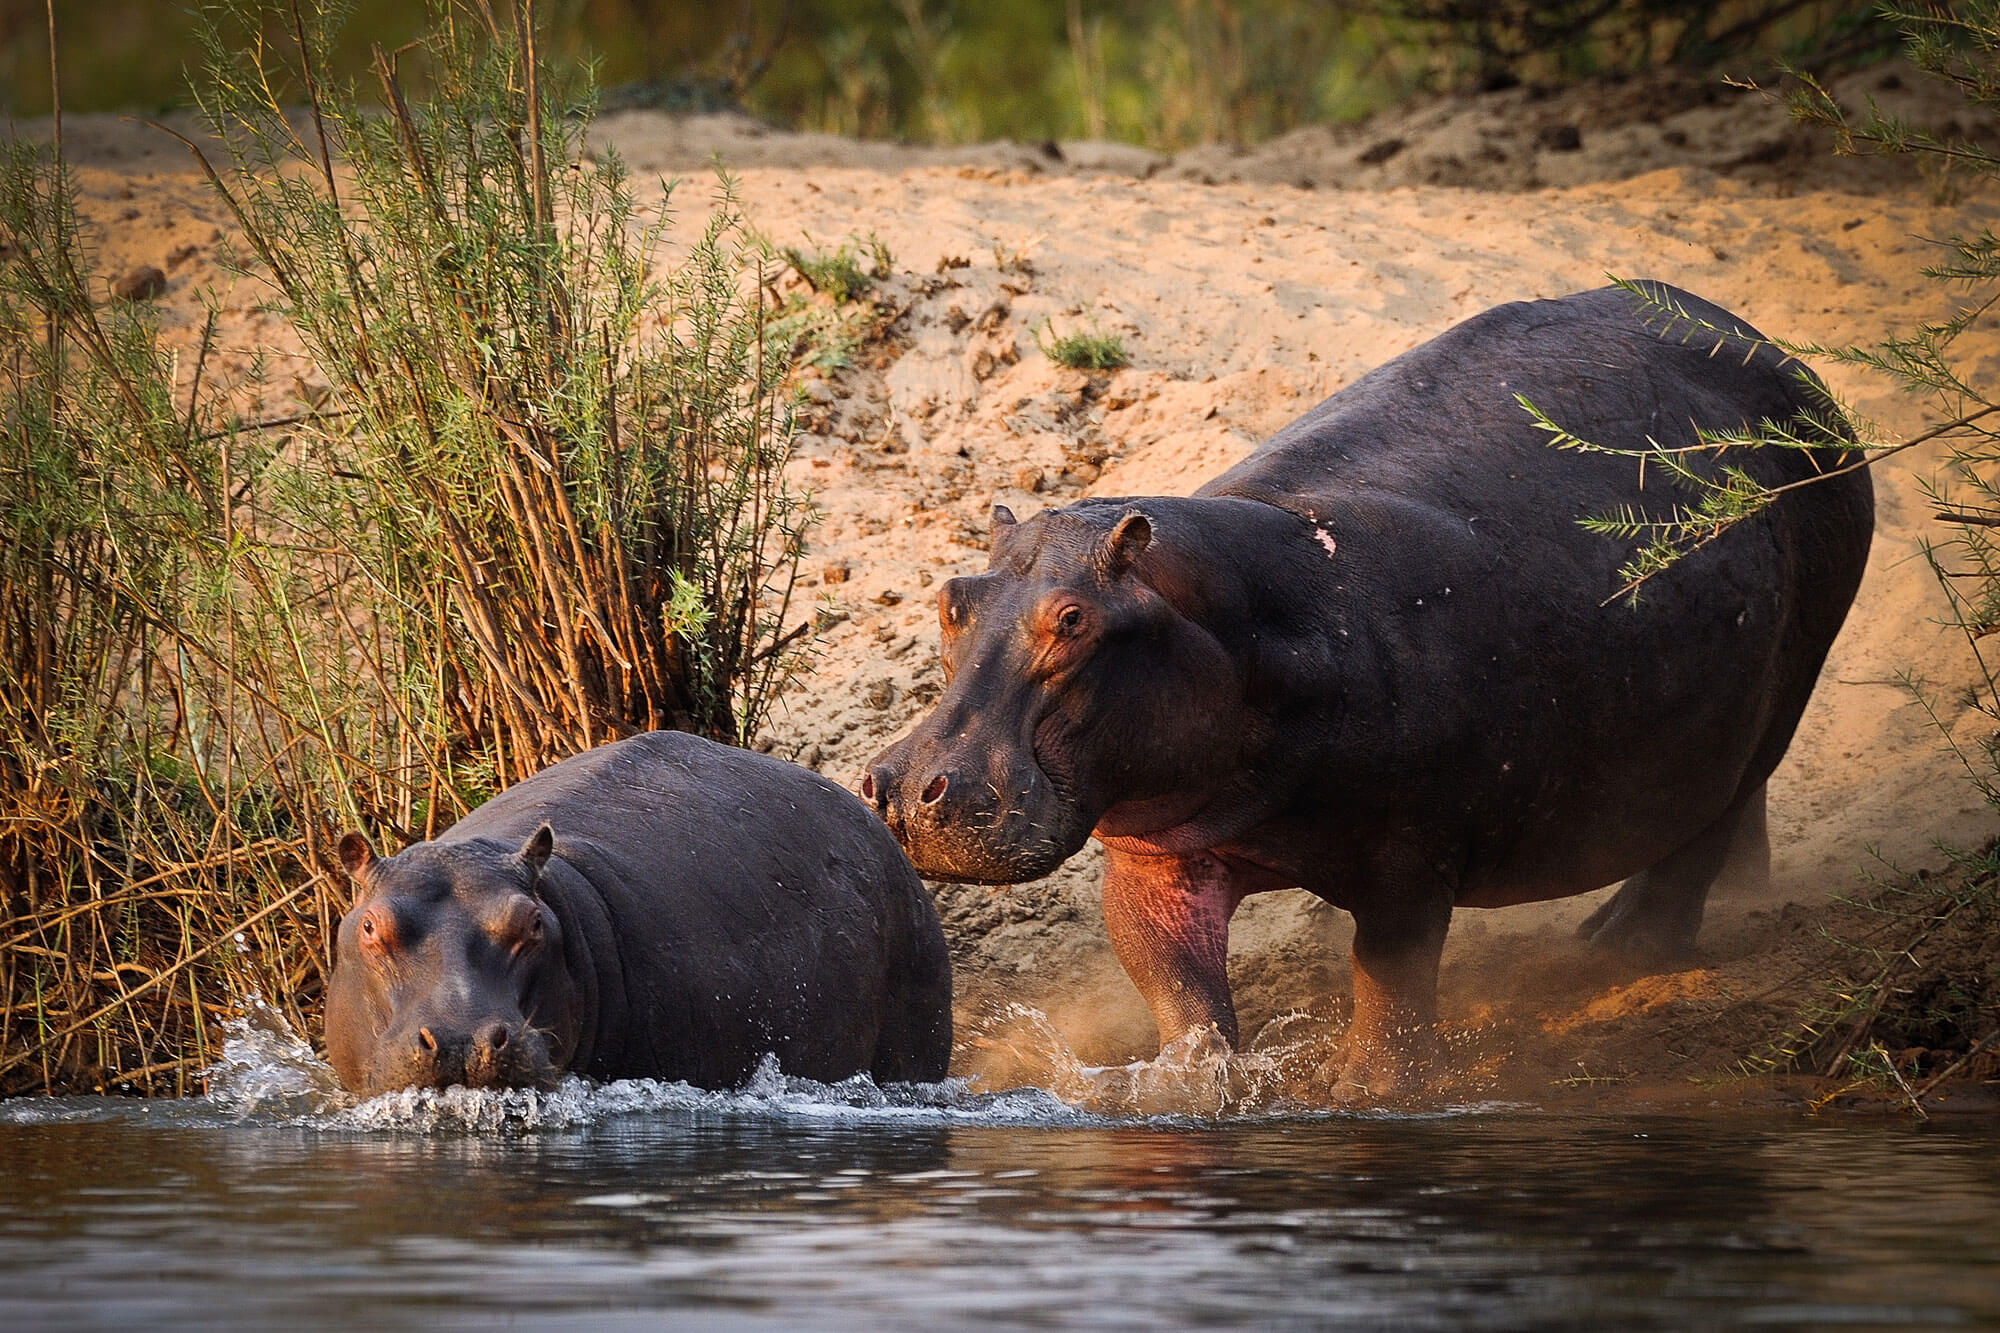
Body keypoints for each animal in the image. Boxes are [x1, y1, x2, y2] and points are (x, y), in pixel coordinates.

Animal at [864, 282, 1873, 1097]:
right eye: (953, 597)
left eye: (1072, 619)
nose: (903, 789)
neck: (1230, 617)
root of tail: (1777, 352)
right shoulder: (1150, 858)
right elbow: (1179, 991)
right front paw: (1189, 1090)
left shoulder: (1413, 853)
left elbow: (1390, 977)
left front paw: (1372, 1093)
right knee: (1727, 801)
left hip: (1796, 671)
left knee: (1706, 827)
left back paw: (1618, 946)